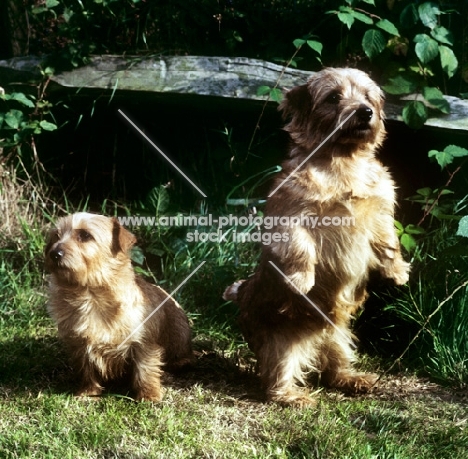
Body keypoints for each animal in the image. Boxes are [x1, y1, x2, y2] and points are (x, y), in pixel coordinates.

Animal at [45, 213, 194, 402]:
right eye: (56, 236)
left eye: (85, 235)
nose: (54, 253)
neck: (90, 296)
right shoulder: (80, 344)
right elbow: (86, 369)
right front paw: (88, 391)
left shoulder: (143, 342)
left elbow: (145, 369)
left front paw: (149, 395)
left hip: (179, 331)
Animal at [223, 67, 410, 406]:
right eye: (334, 97)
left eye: (368, 96)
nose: (365, 111)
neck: (343, 159)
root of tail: (241, 293)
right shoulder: (291, 218)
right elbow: (301, 249)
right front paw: (301, 280)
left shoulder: (379, 213)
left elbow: (388, 241)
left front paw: (397, 271)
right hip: (280, 342)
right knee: (276, 374)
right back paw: (291, 395)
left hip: (340, 334)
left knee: (334, 364)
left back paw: (353, 379)